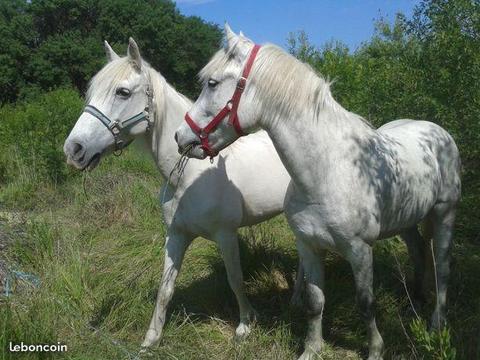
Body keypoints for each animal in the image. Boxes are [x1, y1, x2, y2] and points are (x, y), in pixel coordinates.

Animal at [62, 38, 300, 348]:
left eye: (122, 92)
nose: (73, 149)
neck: (189, 176)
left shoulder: (226, 235)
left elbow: (235, 279)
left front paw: (246, 324)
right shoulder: (176, 235)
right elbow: (166, 288)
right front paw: (151, 339)